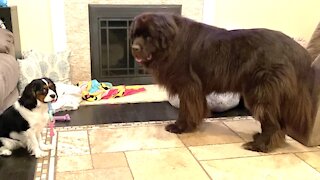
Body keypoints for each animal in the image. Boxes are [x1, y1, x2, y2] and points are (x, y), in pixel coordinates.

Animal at [131, 12, 320, 153]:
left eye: (148, 36)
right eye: (135, 35)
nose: (134, 48)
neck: (171, 43)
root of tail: (298, 50)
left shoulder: (188, 86)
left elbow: (186, 109)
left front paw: (180, 127)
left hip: (260, 92)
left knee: (272, 123)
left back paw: (259, 145)